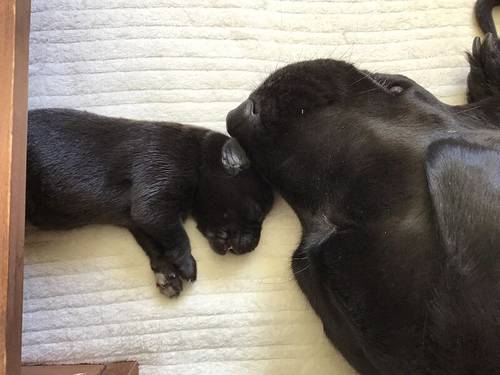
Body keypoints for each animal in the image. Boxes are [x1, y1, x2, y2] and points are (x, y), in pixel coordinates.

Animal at [26, 108, 274, 296]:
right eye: (257, 214)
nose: (253, 246)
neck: (199, 160)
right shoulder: (154, 202)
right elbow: (179, 237)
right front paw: (187, 265)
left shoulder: (138, 220)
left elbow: (155, 246)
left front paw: (168, 274)